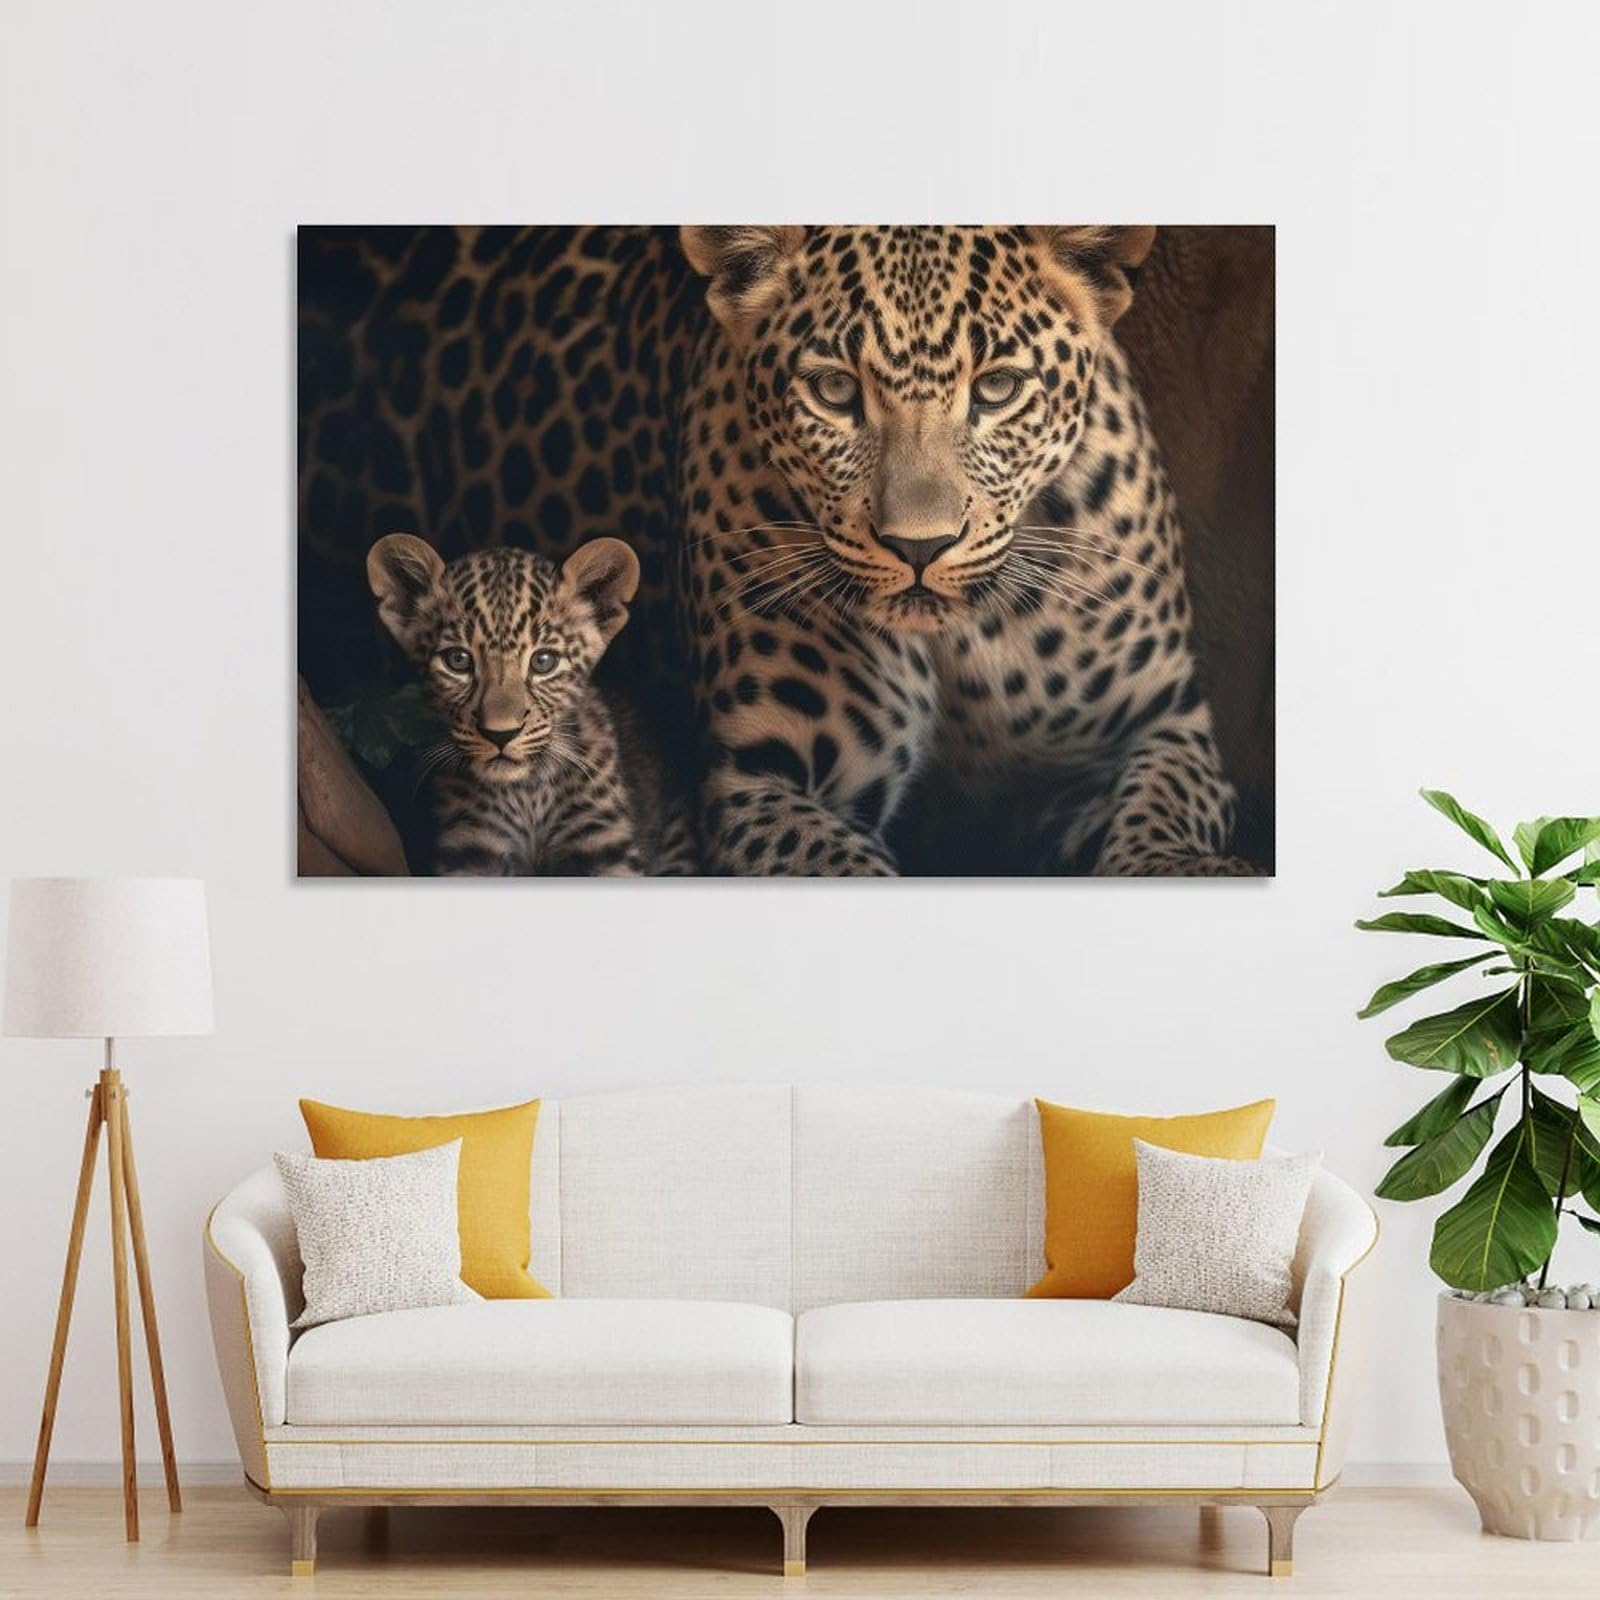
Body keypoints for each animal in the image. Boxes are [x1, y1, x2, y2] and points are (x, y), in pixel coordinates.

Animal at [366, 532, 694, 876]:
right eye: (457, 660)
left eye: (543, 662)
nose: (500, 734)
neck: (527, 791)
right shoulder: (473, 846)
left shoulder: (602, 841)